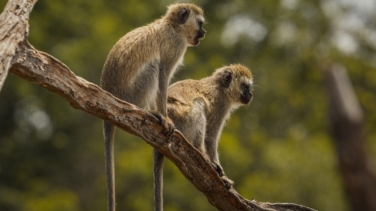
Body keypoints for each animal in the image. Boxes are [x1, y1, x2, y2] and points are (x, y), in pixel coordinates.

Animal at [99, 3, 206, 211]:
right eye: (200, 23)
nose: (204, 32)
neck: (173, 26)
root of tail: (109, 94)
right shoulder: (175, 46)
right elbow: (163, 75)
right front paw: (165, 116)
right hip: (132, 94)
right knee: (153, 67)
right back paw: (148, 111)